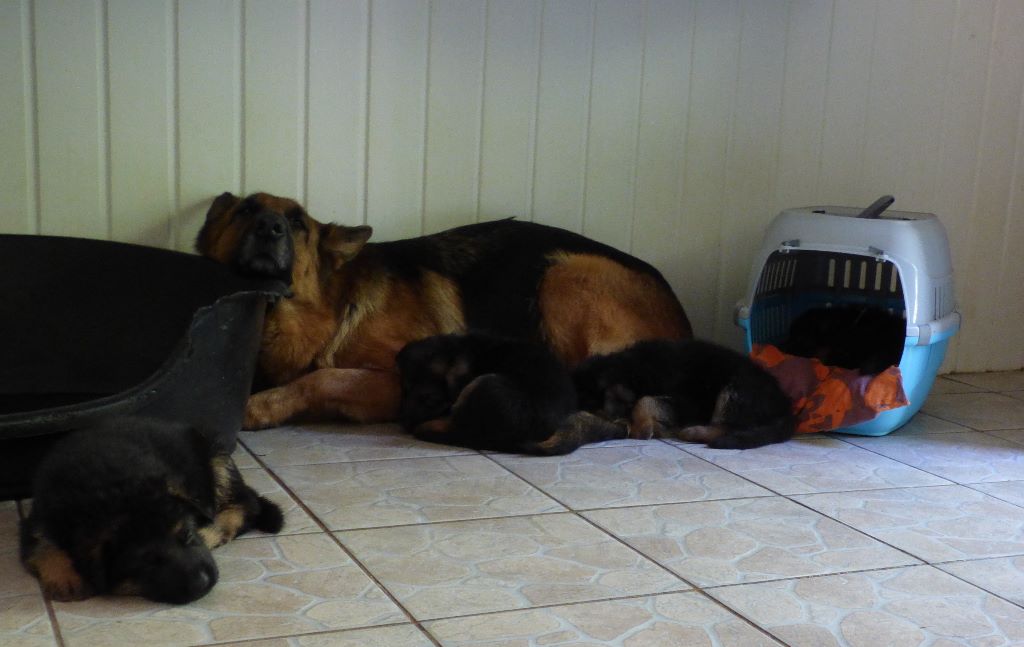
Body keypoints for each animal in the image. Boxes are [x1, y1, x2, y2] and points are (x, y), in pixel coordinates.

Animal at [19, 417, 282, 606]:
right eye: (147, 560)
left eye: (187, 535)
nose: (203, 583)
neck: (112, 492)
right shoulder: (38, 520)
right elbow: (42, 545)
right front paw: (66, 578)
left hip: (217, 459)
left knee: (246, 504)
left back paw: (214, 530)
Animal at [195, 193, 692, 434]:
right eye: (246, 209)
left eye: (298, 222)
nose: (269, 227)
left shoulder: (394, 379)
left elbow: (321, 378)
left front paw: (260, 407)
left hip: (565, 272)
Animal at [573, 337, 794, 450]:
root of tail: (786, 409)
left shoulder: (687, 403)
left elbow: (645, 400)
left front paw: (641, 428)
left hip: (735, 390)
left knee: (728, 426)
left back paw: (693, 432)